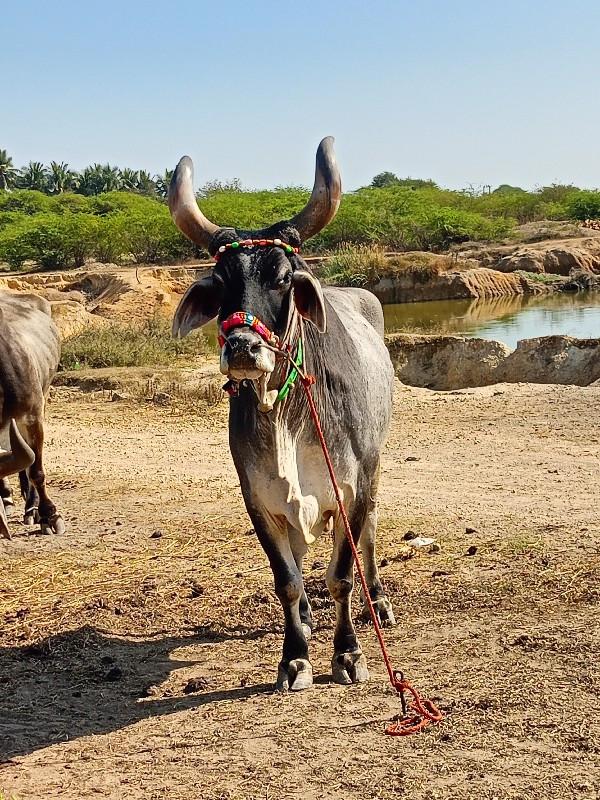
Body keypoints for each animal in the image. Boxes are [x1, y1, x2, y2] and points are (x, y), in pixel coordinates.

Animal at [170, 139, 394, 688]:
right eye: (221, 281)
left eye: (283, 278)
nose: (242, 348)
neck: (285, 423)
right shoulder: (258, 499)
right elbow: (287, 580)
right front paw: (295, 655)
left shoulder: (351, 490)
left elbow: (341, 576)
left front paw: (348, 653)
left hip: (375, 471)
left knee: (371, 536)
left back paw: (378, 599)